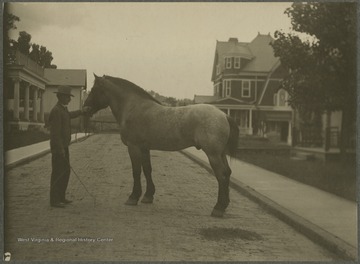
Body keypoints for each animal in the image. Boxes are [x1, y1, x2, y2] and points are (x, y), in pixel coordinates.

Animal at [82, 73, 238, 217]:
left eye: (94, 89)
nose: (85, 108)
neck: (133, 107)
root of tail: (224, 115)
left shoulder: (134, 147)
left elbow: (136, 171)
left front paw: (133, 197)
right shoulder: (144, 148)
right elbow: (147, 170)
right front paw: (148, 196)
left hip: (213, 154)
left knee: (221, 175)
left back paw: (218, 208)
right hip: (221, 153)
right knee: (227, 173)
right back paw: (224, 205)